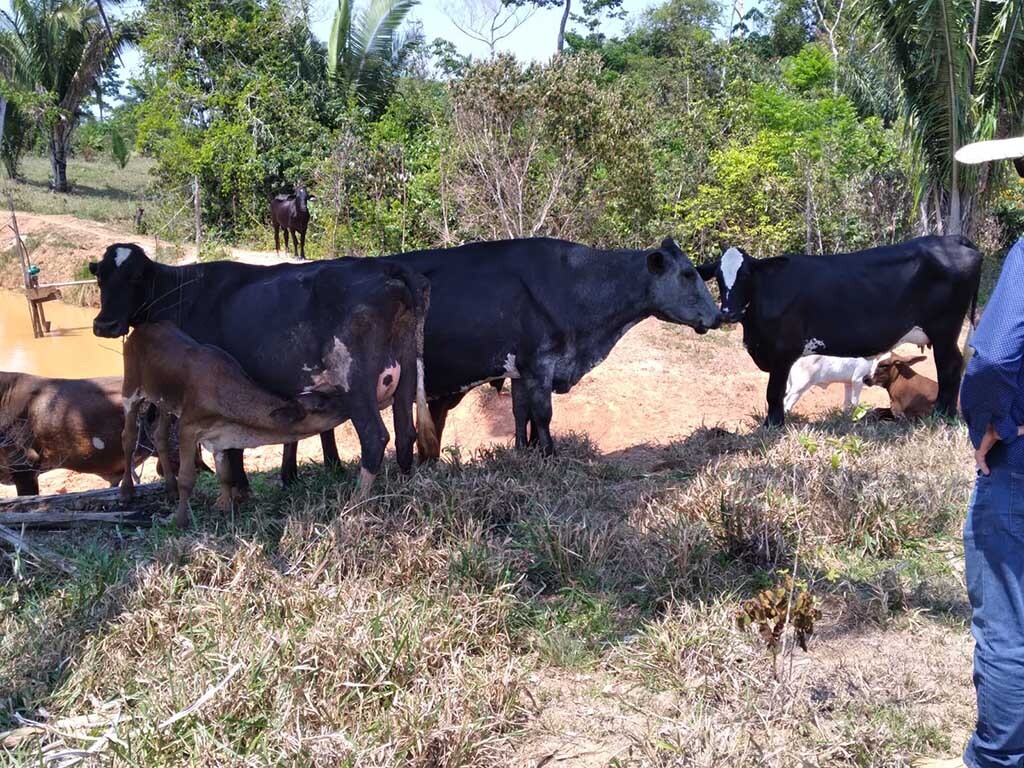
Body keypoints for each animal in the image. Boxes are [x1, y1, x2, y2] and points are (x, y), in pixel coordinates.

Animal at [89, 243, 436, 501]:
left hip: (356, 383)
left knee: (375, 438)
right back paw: (404, 494)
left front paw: (237, 490)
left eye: (136, 277)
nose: (104, 324)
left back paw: (355, 506)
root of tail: (386, 267)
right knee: (405, 433)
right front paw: (241, 490)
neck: (182, 293)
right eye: (100, 278)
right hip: (405, 373)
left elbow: (231, 446)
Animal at [700, 234, 978, 428]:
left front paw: (772, 425)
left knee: (950, 367)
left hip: (944, 331)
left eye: (746, 275)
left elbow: (774, 393)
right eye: (718, 277)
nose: (728, 312)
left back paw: (942, 415)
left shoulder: (783, 352)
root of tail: (952, 238)